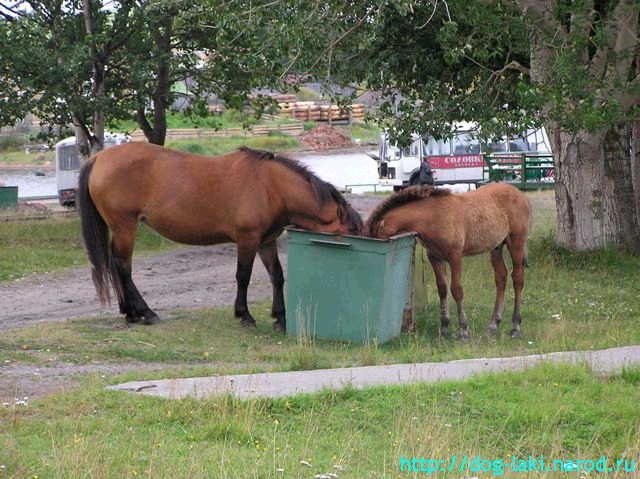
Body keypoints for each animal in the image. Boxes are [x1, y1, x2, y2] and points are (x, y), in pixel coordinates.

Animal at [77, 142, 362, 330]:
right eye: (351, 232)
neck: (270, 186)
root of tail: (99, 158)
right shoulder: (247, 240)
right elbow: (243, 276)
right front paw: (244, 315)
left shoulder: (266, 242)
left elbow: (277, 277)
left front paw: (280, 318)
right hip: (125, 226)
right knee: (123, 266)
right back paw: (144, 313)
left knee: (116, 265)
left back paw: (130, 312)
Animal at [364, 182, 528, 340]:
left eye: (377, 240)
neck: (434, 216)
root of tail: (518, 192)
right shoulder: (435, 257)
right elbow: (442, 289)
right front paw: (444, 328)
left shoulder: (455, 257)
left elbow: (456, 290)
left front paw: (463, 331)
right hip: (496, 247)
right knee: (501, 277)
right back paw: (493, 325)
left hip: (516, 242)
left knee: (518, 278)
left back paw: (515, 327)